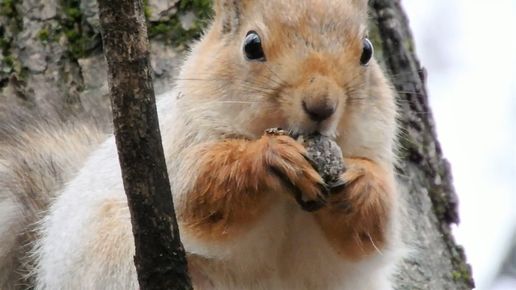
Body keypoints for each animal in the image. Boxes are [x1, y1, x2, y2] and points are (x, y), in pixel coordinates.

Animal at [0, 0, 406, 290]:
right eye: (252, 45)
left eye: (367, 50)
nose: (322, 105)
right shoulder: (178, 148)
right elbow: (201, 192)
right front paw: (271, 158)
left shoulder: (377, 147)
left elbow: (371, 231)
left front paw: (361, 184)